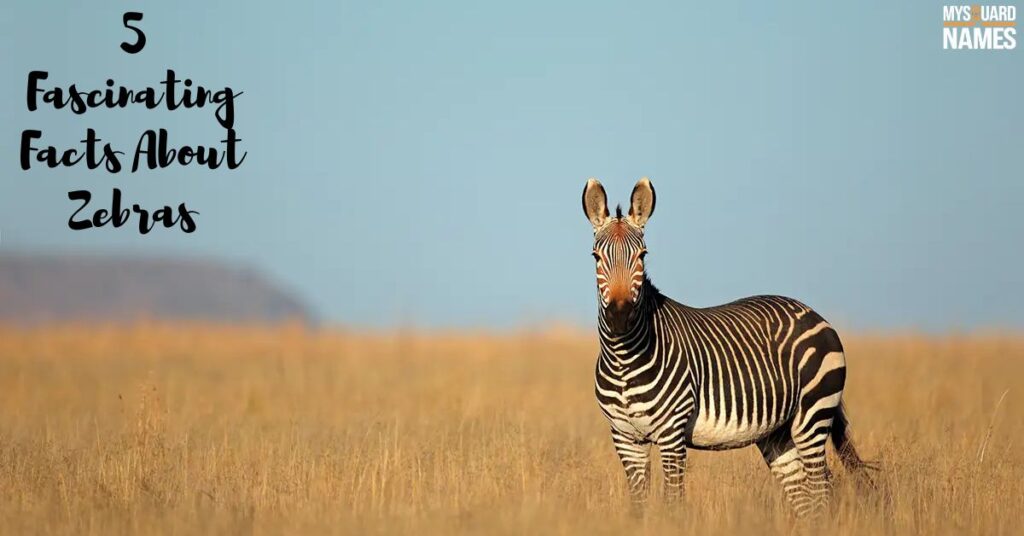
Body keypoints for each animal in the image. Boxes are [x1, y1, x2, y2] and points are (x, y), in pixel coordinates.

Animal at [585, 178, 872, 518]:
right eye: (595, 257)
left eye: (643, 255)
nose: (619, 317)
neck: (623, 360)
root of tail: (812, 312)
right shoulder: (626, 439)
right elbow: (639, 507)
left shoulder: (671, 434)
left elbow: (673, 502)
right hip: (778, 433)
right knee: (803, 497)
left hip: (812, 415)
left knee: (821, 490)